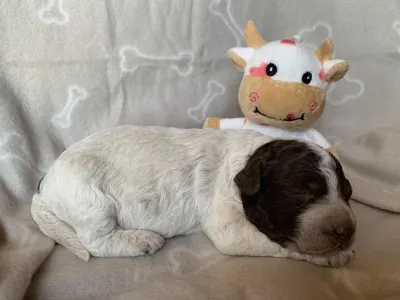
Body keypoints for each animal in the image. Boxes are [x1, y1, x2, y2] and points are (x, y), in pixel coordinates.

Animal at [31, 125, 356, 268]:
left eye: (349, 193)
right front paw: (332, 256)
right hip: (90, 199)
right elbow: (282, 245)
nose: (346, 231)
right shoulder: (231, 227)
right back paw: (140, 241)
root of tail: (44, 185)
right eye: (302, 194)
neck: (249, 160)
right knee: (95, 242)